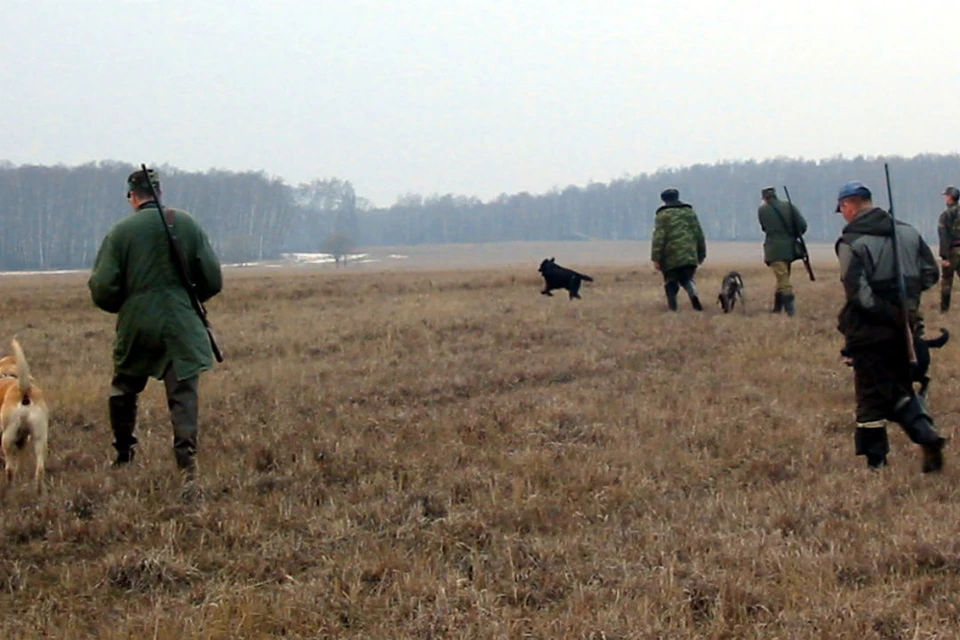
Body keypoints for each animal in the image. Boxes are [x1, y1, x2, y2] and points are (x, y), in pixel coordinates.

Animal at [0, 340, 49, 496]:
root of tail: (24, 391)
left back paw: (9, 489)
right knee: (39, 470)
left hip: (7, 438)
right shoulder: (22, 440)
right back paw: (39, 493)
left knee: (9, 469)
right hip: (40, 439)